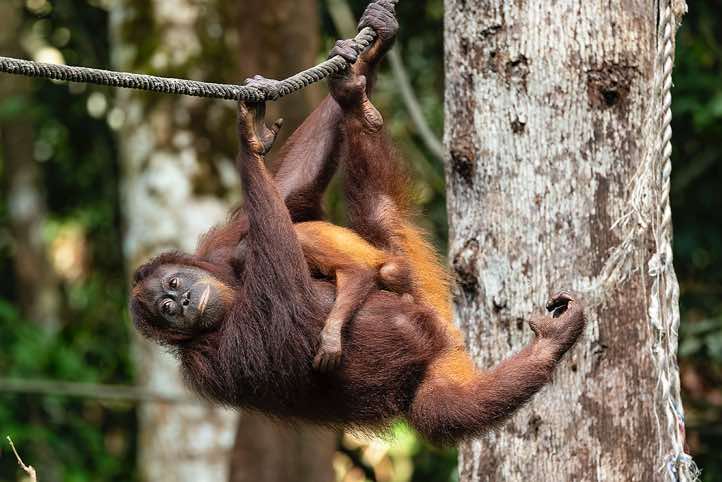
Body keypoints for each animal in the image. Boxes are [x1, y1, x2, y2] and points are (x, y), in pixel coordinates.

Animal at [130, 0, 586, 444]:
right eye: (166, 309)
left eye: (174, 284)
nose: (182, 302)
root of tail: (441, 335)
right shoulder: (211, 360)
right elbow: (287, 299)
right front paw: (249, 136)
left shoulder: (217, 250)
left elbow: (292, 190)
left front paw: (253, 134)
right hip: (426, 358)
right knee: (448, 409)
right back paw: (551, 345)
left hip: (413, 280)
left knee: (374, 217)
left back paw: (356, 84)